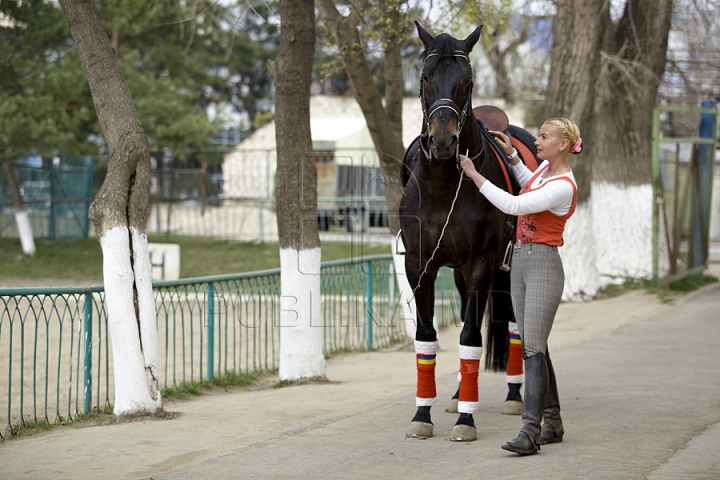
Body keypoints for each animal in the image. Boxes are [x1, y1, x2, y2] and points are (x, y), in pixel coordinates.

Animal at [400, 22, 536, 442]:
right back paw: (460, 392)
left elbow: (472, 338)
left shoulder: (481, 264)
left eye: (467, 81)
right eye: (424, 78)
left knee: (512, 325)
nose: (444, 141)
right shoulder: (420, 266)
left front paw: (466, 419)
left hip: (505, 268)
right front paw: (422, 415)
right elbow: (428, 338)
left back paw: (513, 394)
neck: (444, 185)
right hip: (459, 272)